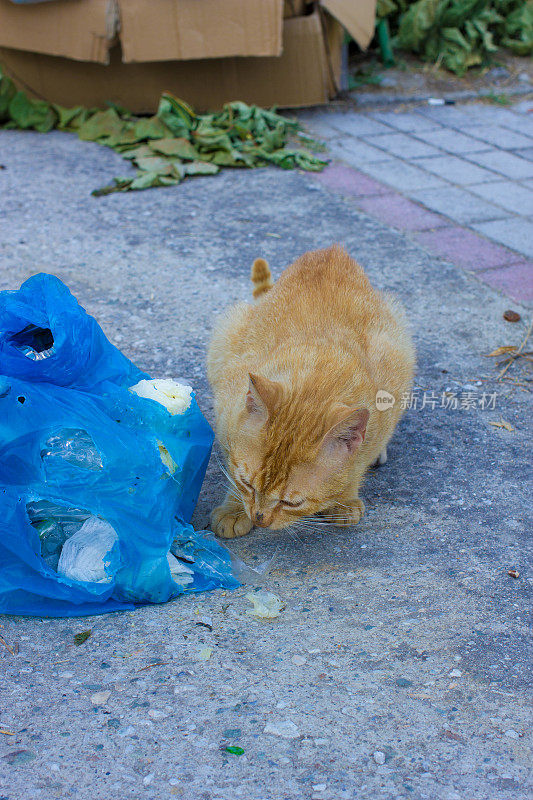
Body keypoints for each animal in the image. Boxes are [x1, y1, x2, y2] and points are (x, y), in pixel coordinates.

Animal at [206, 245, 414, 536]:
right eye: (247, 484)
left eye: (292, 503)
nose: (259, 518)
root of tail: (331, 250)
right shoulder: (226, 410)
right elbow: (230, 459)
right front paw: (234, 508)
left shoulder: (386, 403)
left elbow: (357, 465)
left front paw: (345, 498)